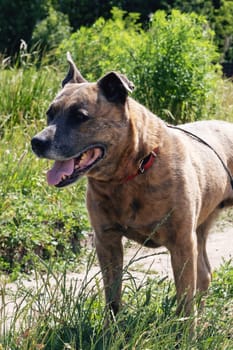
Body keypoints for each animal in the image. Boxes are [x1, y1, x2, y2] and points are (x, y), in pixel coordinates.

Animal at [31, 53, 233, 326]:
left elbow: (184, 301)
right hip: (200, 228)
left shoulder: (182, 244)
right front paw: (110, 330)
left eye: (80, 116)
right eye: (49, 113)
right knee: (204, 275)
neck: (133, 170)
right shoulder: (107, 241)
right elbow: (112, 297)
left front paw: (185, 333)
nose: (37, 142)